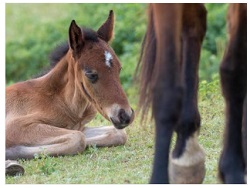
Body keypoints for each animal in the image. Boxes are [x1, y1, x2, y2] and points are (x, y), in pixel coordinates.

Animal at [5, 10, 134, 163]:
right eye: (91, 74)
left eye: (119, 69)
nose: (125, 116)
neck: (59, 100)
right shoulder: (15, 127)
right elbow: (78, 139)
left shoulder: (79, 127)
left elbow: (118, 133)